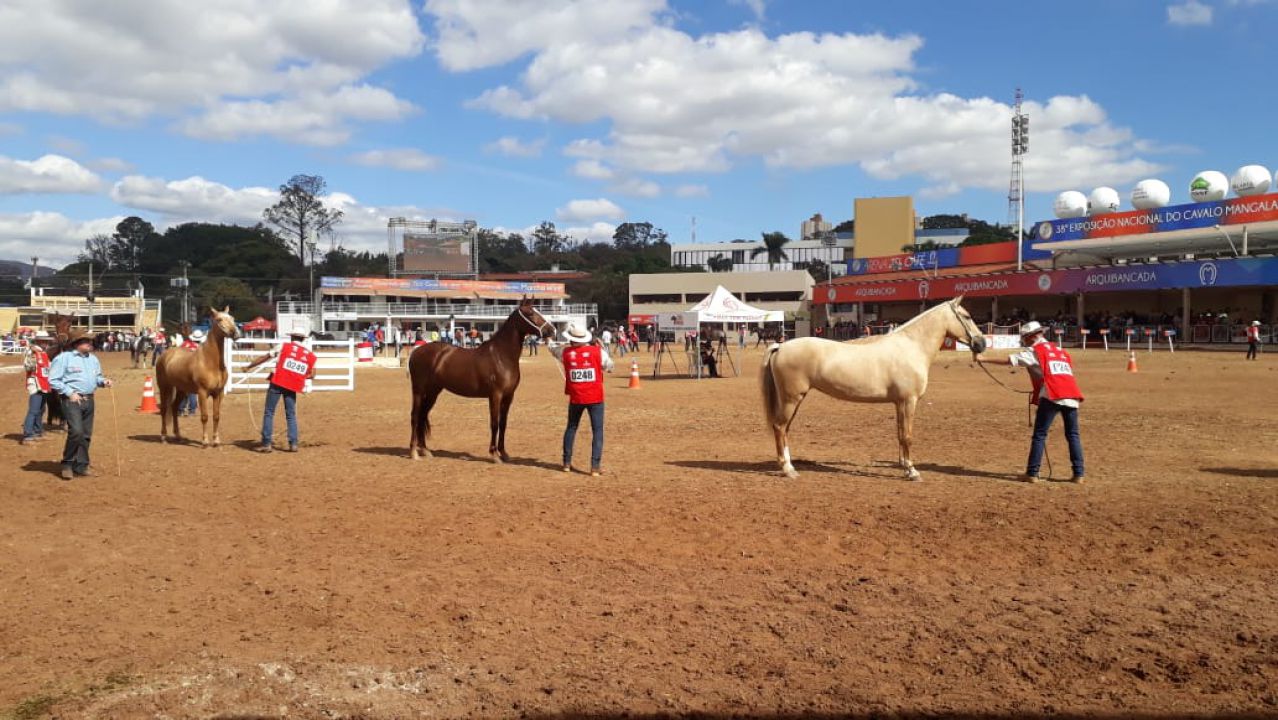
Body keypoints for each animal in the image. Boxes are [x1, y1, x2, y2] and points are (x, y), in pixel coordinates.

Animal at [155, 307, 240, 446]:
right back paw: (163, 437)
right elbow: (204, 416)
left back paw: (178, 436)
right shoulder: (202, 392)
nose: (235, 333)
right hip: (164, 387)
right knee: (164, 409)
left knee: (174, 408)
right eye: (219, 319)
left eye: (232, 318)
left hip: (181, 390)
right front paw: (205, 441)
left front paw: (216, 440)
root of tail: (165, 355)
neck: (210, 362)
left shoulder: (218, 393)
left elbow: (216, 416)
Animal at [407, 297, 556, 461]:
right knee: (415, 416)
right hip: (418, 390)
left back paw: (424, 449)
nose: (551, 330)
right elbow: (494, 424)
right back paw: (414, 452)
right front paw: (494, 454)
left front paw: (504, 453)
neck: (501, 356)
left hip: (433, 391)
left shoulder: (509, 396)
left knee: (423, 415)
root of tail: (416, 352)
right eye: (529, 313)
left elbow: (503, 423)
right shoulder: (495, 395)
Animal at [760, 296, 986, 480]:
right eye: (967, 316)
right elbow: (907, 436)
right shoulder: (908, 401)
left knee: (785, 429)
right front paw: (912, 471)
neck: (911, 347)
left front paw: (904, 466)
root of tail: (780, 346)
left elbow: (900, 434)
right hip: (791, 399)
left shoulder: (899, 403)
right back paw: (788, 469)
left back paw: (790, 465)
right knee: (779, 428)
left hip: (795, 400)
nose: (982, 343)